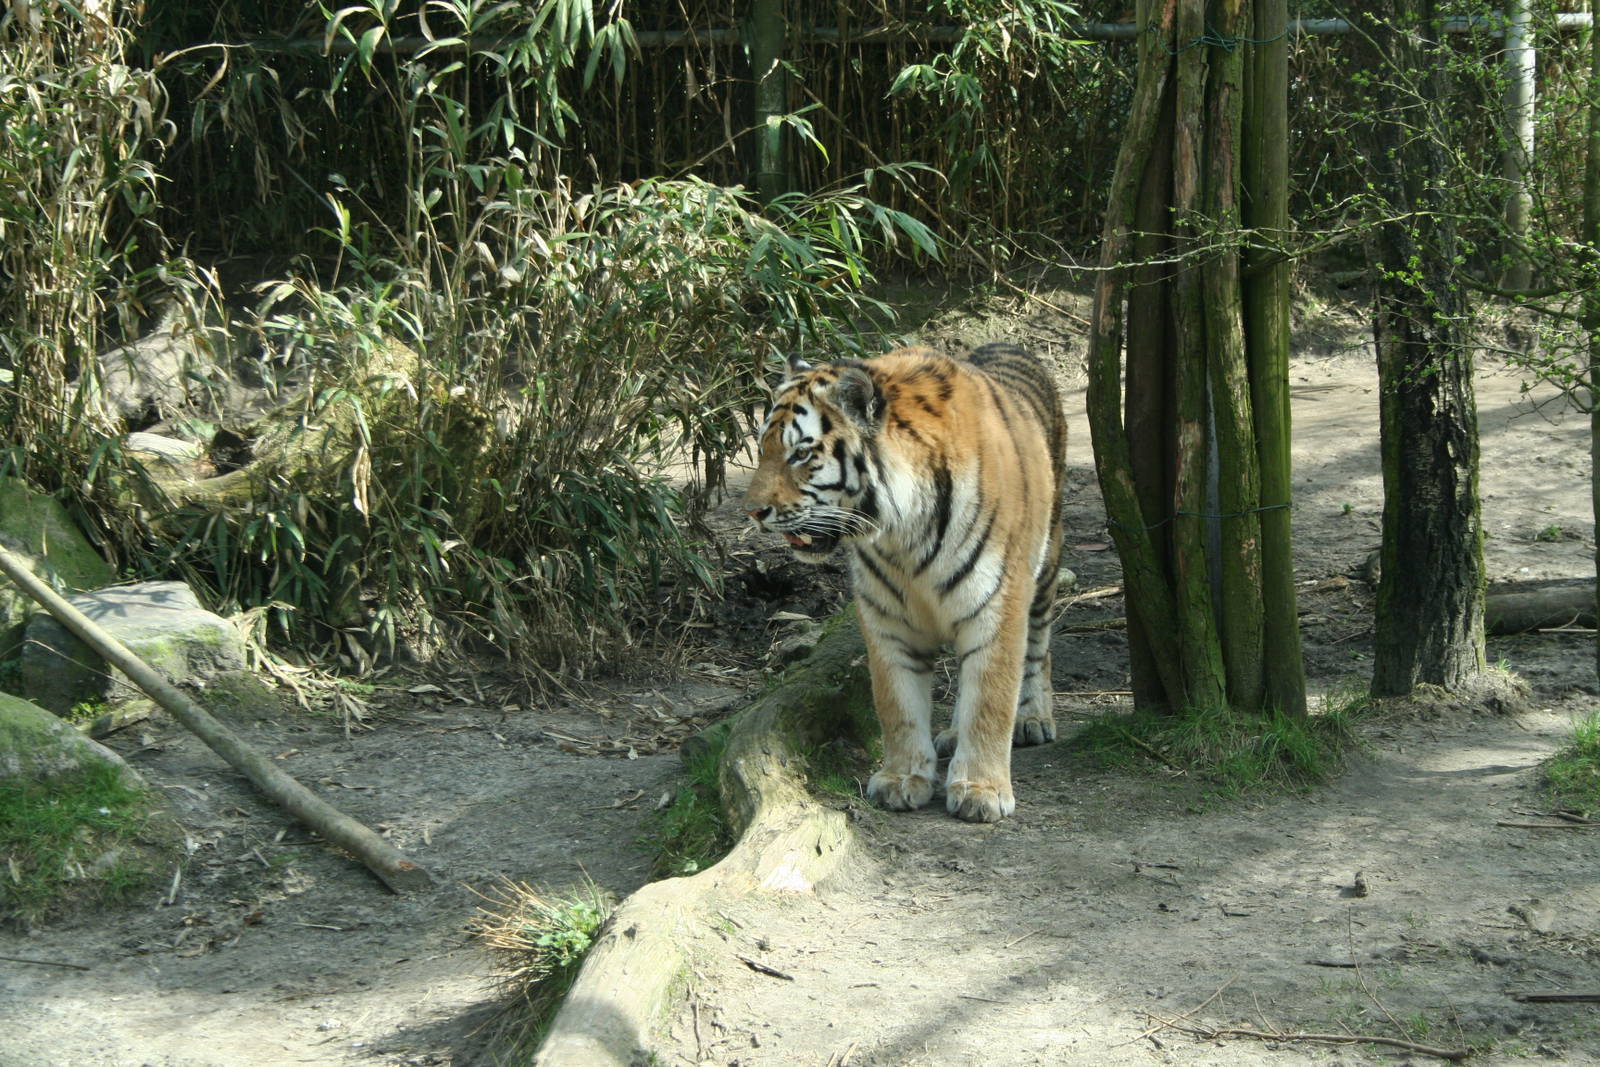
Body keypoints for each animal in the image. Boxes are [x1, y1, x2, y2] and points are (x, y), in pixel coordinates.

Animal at [743, 343, 1068, 823]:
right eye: (762, 447)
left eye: (801, 453)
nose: (752, 511)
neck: (902, 534)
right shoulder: (887, 616)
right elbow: (897, 702)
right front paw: (902, 778)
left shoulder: (997, 604)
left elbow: (990, 698)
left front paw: (982, 789)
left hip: (1044, 565)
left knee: (1039, 647)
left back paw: (1032, 718)